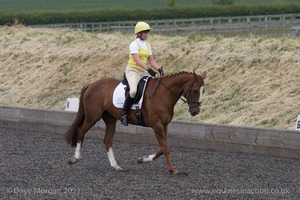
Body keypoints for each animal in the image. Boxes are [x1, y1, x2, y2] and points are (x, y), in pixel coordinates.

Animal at [64, 71, 206, 174]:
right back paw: (74, 159)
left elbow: (163, 147)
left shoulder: (164, 126)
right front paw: (172, 169)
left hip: (110, 120)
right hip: (92, 117)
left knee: (107, 141)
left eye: (203, 91)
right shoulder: (157, 126)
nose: (195, 111)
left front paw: (143, 159)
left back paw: (116, 166)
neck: (163, 94)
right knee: (80, 132)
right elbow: (165, 148)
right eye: (195, 90)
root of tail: (92, 84)